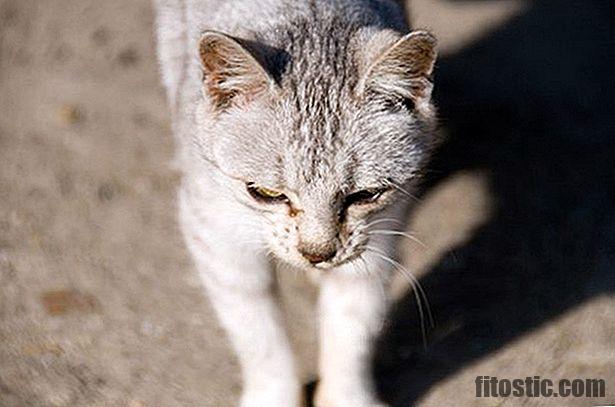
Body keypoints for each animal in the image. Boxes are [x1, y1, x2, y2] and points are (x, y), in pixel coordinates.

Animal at [154, 0, 440, 406]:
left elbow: (353, 327)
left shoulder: (381, 234)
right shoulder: (214, 232)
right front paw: (273, 395)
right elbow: (257, 334)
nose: (317, 253)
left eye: (364, 195)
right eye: (267, 194)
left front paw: (346, 396)